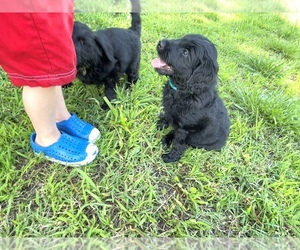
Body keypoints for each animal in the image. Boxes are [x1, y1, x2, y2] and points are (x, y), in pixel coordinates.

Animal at [151, 34, 231, 163]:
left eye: (186, 52)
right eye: (180, 38)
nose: (161, 43)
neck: (181, 90)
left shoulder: (185, 128)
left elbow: (179, 143)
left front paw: (171, 157)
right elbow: (167, 115)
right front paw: (160, 124)